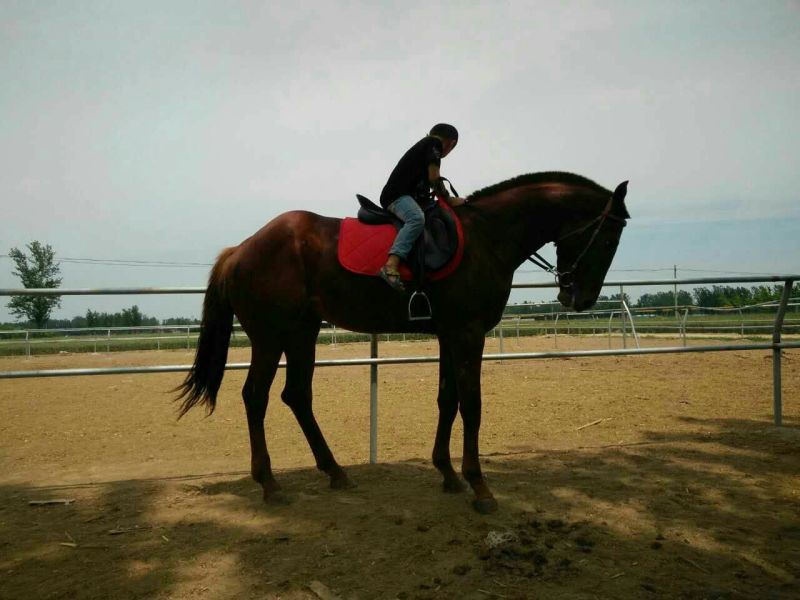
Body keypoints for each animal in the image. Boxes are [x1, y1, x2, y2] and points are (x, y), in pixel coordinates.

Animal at [175, 171, 630, 513]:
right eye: (610, 239)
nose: (579, 298)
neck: (487, 236)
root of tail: (240, 249)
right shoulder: (468, 333)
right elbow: (472, 405)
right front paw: (479, 486)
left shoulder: (449, 334)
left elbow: (448, 400)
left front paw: (447, 473)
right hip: (271, 338)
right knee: (256, 397)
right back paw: (269, 483)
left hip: (302, 334)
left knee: (297, 396)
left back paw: (335, 472)